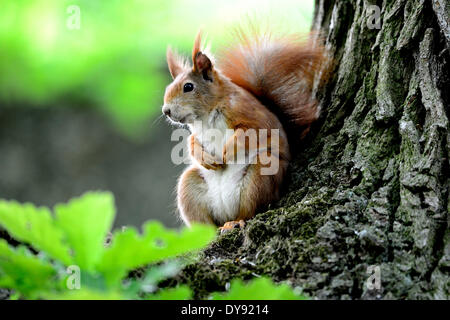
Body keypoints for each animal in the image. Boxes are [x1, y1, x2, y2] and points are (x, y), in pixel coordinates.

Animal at [162, 27, 326, 231]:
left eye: (188, 87)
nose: (166, 111)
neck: (206, 116)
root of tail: (226, 214)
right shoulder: (197, 132)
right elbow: (192, 142)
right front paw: (204, 157)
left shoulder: (253, 116)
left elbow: (250, 133)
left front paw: (227, 151)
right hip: (189, 187)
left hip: (261, 176)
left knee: (249, 211)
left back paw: (236, 221)